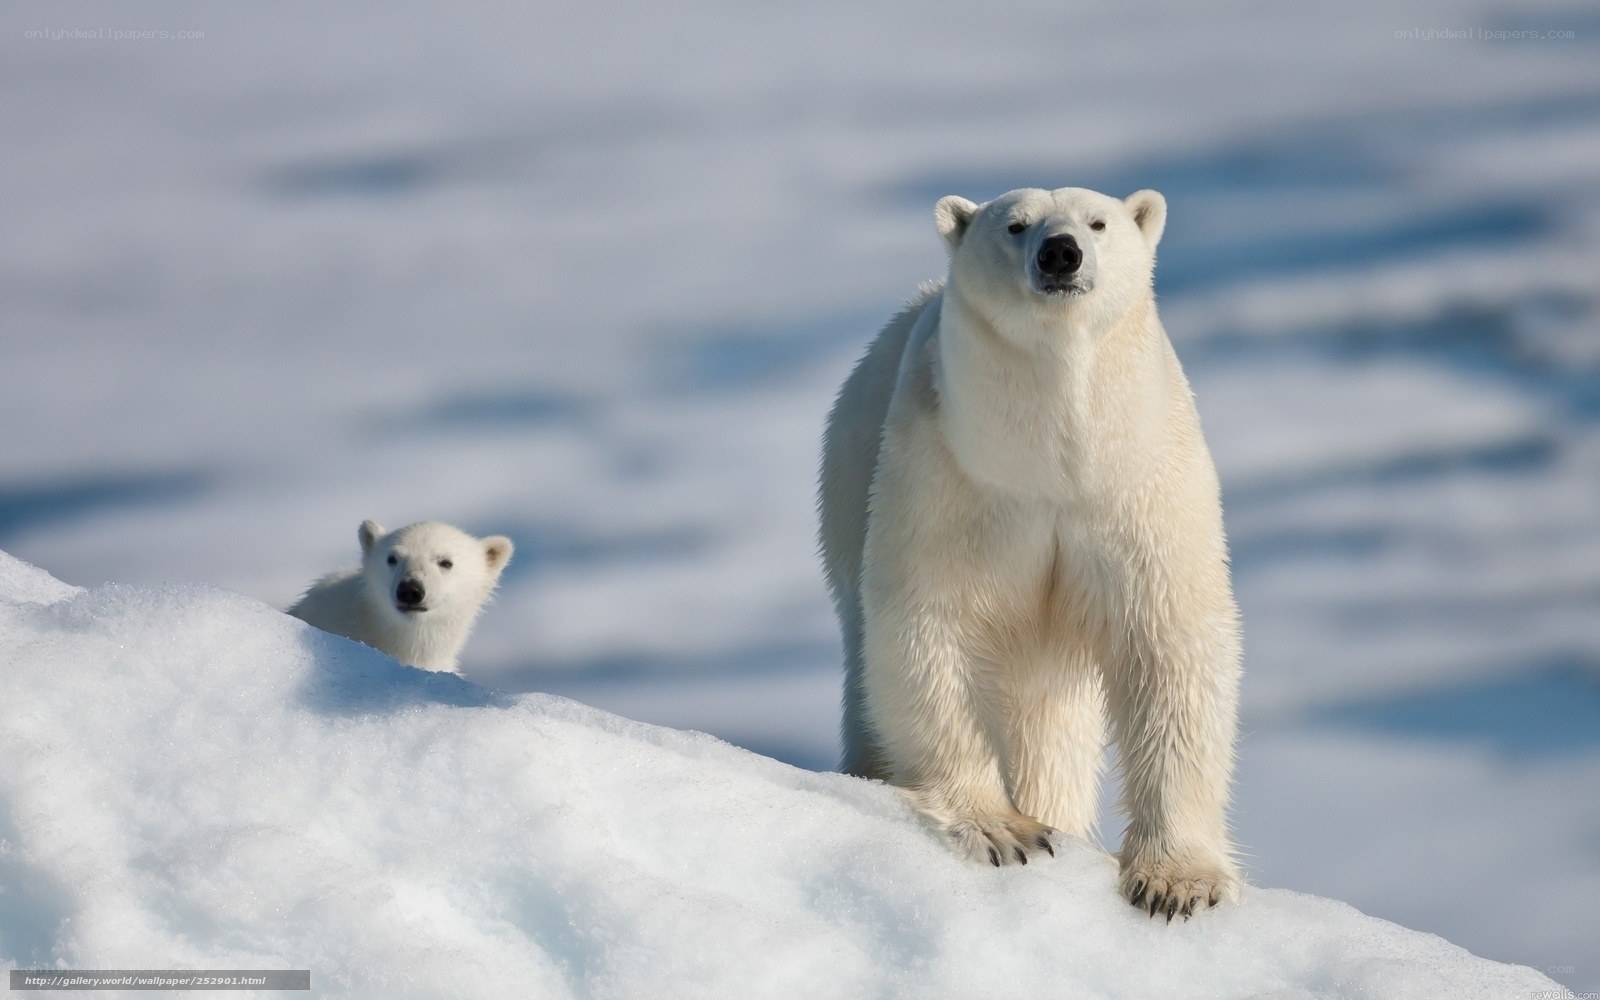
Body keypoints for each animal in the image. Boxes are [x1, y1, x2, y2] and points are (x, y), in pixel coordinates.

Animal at [818, 185, 1241, 920]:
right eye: (1015, 226)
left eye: (1098, 222)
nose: (1061, 253)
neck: (1054, 458)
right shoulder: (951, 474)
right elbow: (930, 628)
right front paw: (1004, 830)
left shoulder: (1138, 483)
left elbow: (1169, 644)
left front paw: (1176, 882)